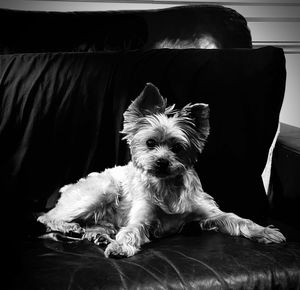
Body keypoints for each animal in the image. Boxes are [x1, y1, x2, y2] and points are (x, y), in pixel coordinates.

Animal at [38, 82, 286, 258]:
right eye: (150, 143)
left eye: (177, 147)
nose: (161, 162)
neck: (167, 186)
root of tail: (68, 187)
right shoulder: (141, 215)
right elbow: (131, 230)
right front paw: (120, 246)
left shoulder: (210, 213)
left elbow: (238, 219)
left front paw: (265, 231)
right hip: (103, 190)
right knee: (48, 216)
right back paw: (70, 227)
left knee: (94, 224)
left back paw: (99, 235)